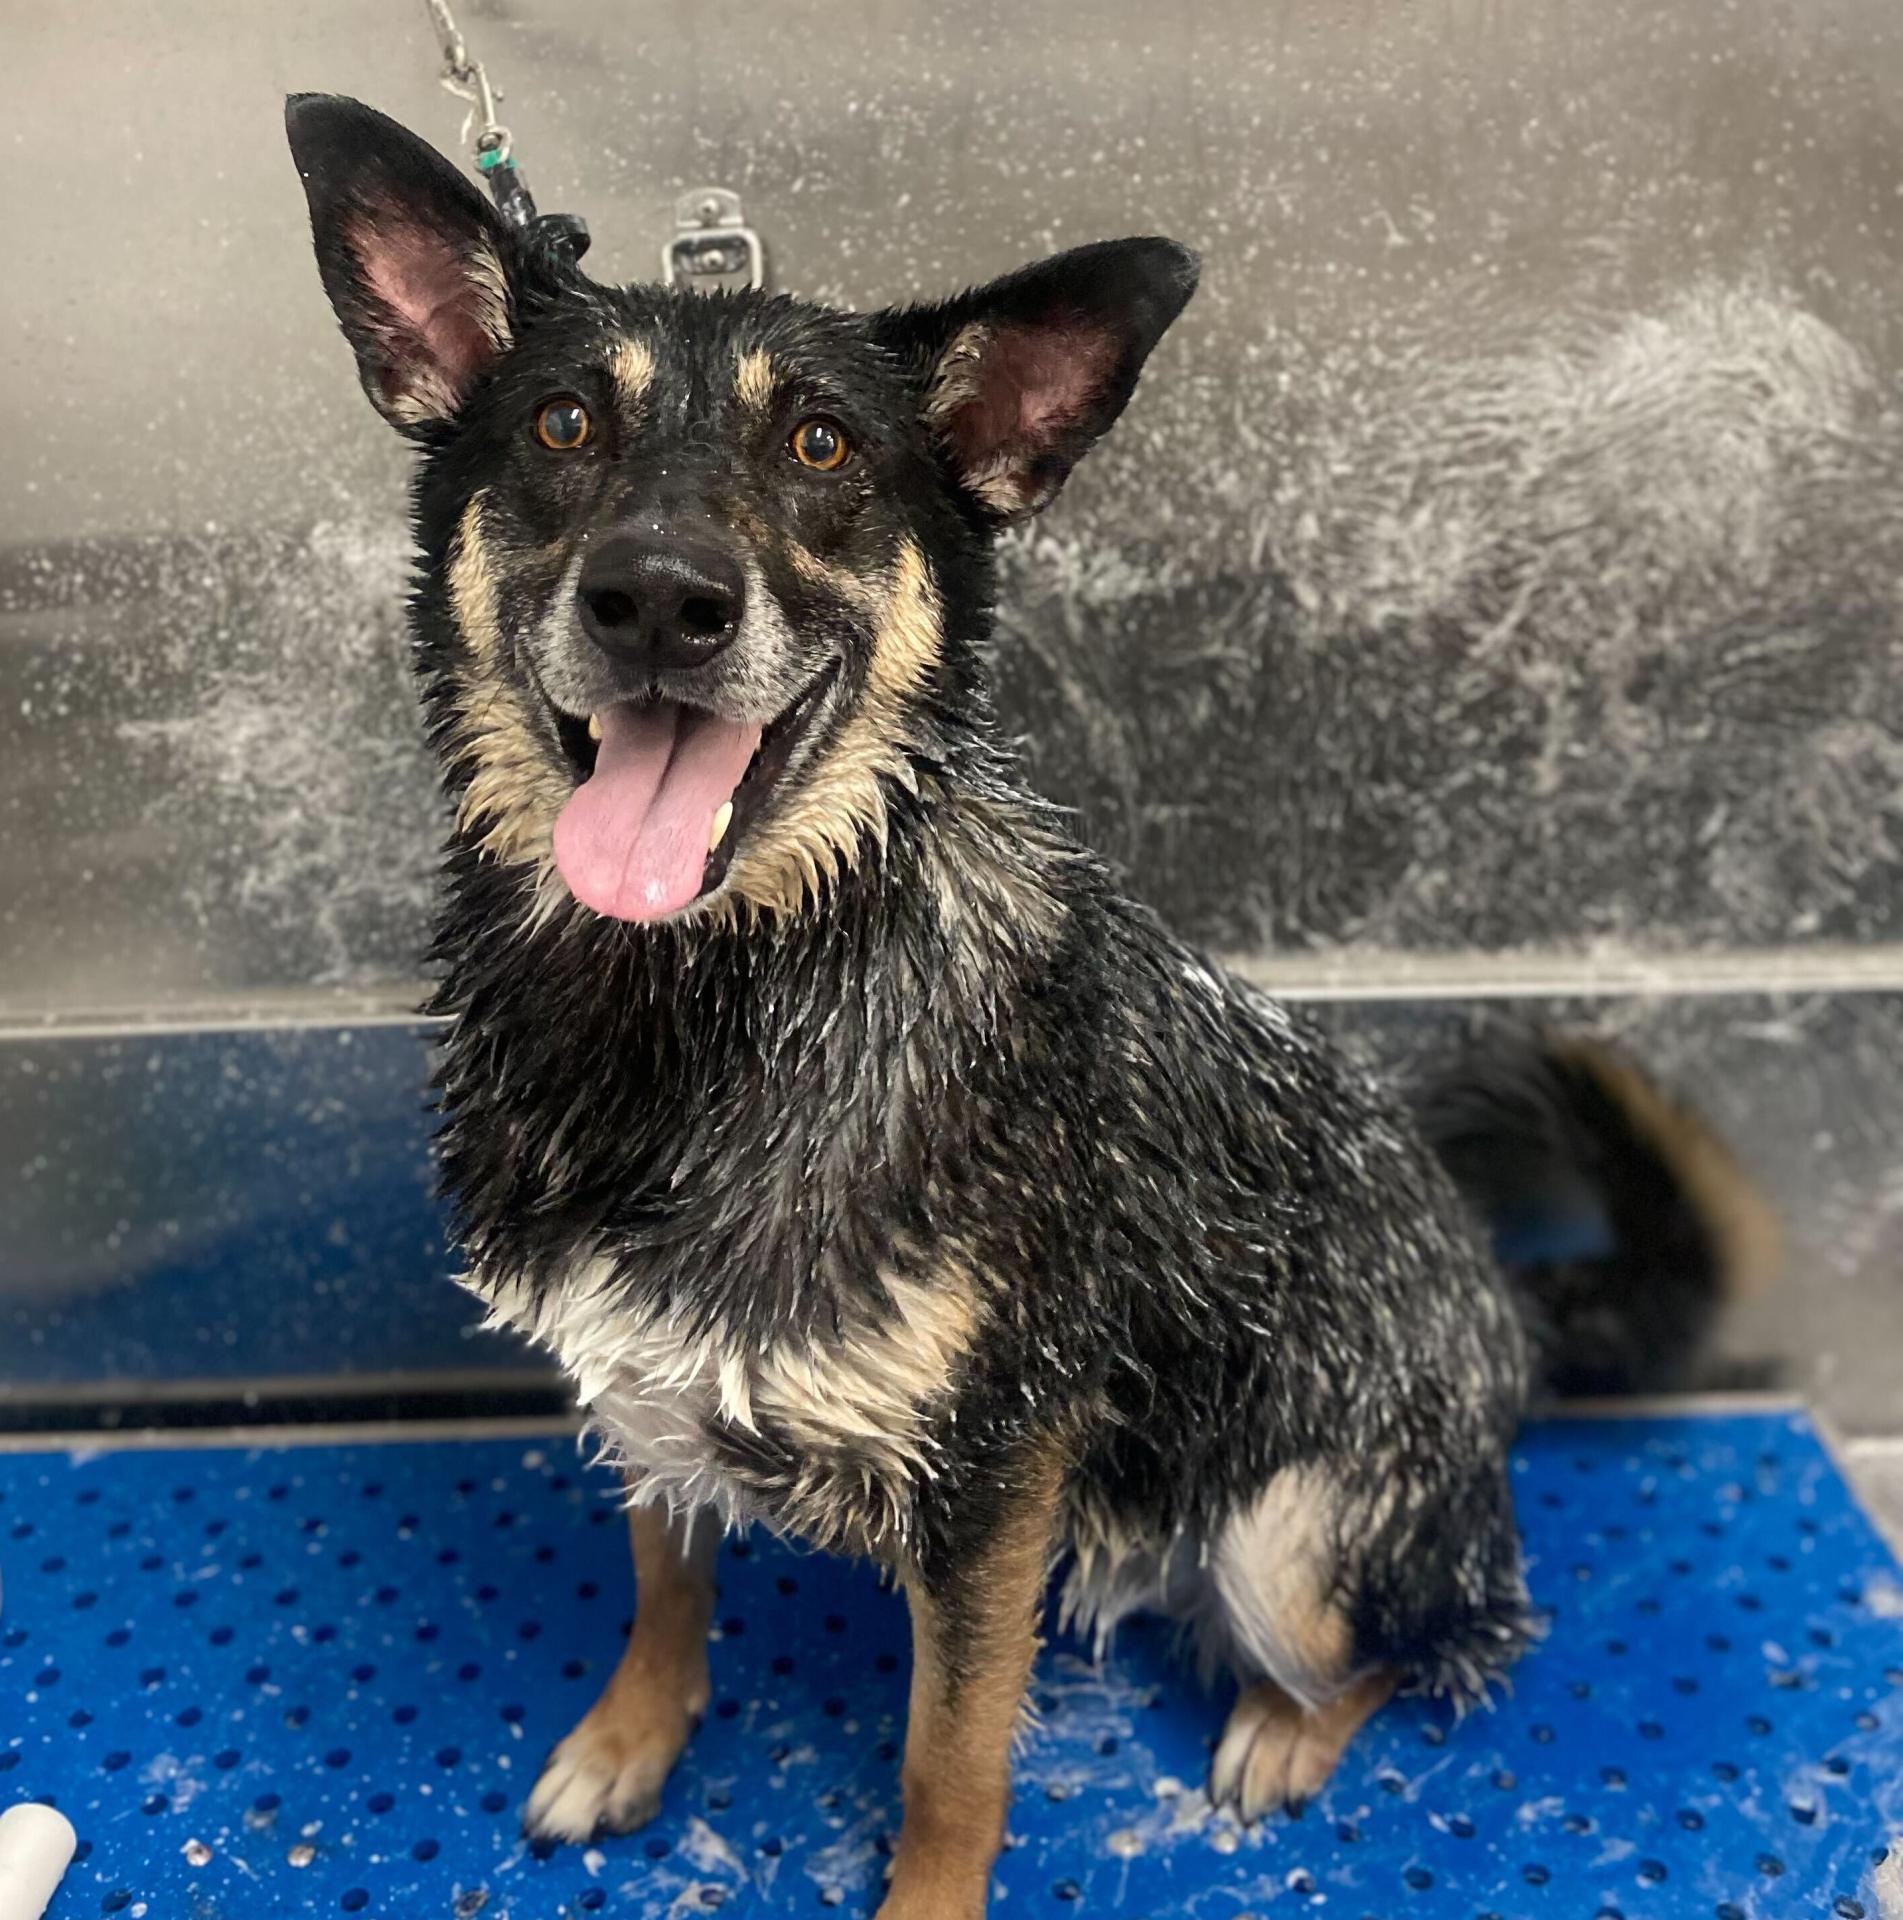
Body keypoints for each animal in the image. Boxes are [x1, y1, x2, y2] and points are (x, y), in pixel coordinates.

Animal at [286, 93, 1782, 1920]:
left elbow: (950, 1764)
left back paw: (1285, 1730)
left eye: (822, 451)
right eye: (566, 421)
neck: (703, 1000)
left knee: (1428, 1637)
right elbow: (665, 1580)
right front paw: (633, 1738)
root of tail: (1500, 1321)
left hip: (1287, 1539)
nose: (656, 598)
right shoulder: (641, 1382)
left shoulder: (996, 1485)